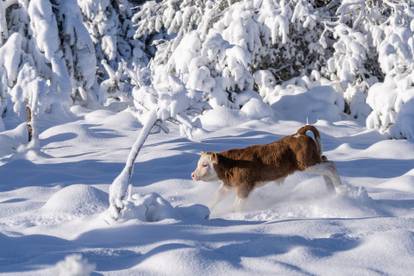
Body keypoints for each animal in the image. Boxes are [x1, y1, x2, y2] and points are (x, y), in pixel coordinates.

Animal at [192, 125, 344, 211]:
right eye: (199, 163)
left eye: (205, 164)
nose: (193, 175)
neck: (232, 163)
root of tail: (299, 134)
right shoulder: (229, 184)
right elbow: (217, 196)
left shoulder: (245, 186)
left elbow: (237, 205)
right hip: (314, 161)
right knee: (326, 165)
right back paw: (331, 192)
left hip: (307, 164)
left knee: (331, 166)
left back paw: (341, 191)